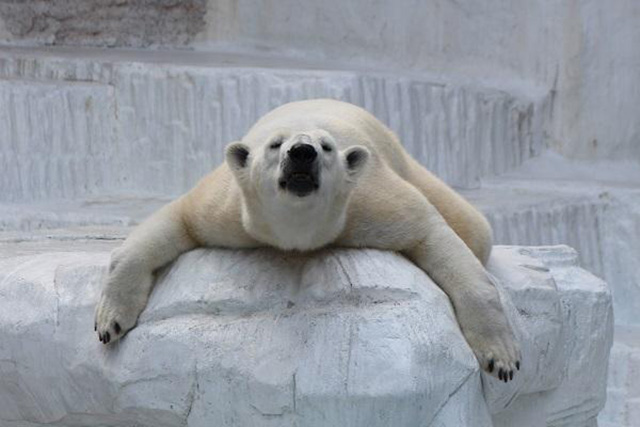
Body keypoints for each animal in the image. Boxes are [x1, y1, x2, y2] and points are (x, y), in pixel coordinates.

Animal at [96, 98, 524, 382]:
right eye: (274, 145)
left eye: (327, 147)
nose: (302, 152)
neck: (297, 231)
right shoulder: (229, 209)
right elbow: (177, 219)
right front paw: (110, 323)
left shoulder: (369, 203)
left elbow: (433, 232)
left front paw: (501, 359)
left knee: (473, 227)